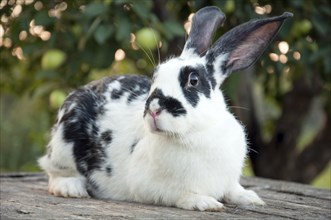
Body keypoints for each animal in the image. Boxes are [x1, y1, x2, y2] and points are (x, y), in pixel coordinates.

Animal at [39, 6, 294, 211]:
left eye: (193, 80)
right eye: (155, 76)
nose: (153, 109)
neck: (195, 134)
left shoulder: (228, 179)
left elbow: (233, 189)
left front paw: (250, 198)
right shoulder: (148, 186)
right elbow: (179, 194)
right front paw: (205, 203)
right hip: (63, 145)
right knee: (53, 172)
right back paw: (71, 188)